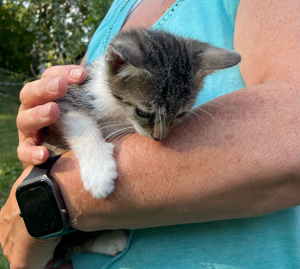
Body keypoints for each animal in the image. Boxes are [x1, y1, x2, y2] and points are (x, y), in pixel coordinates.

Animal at [42, 27, 241, 260]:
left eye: (180, 114)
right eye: (143, 112)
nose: (159, 137)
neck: (119, 110)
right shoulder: (68, 97)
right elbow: (81, 123)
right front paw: (99, 172)